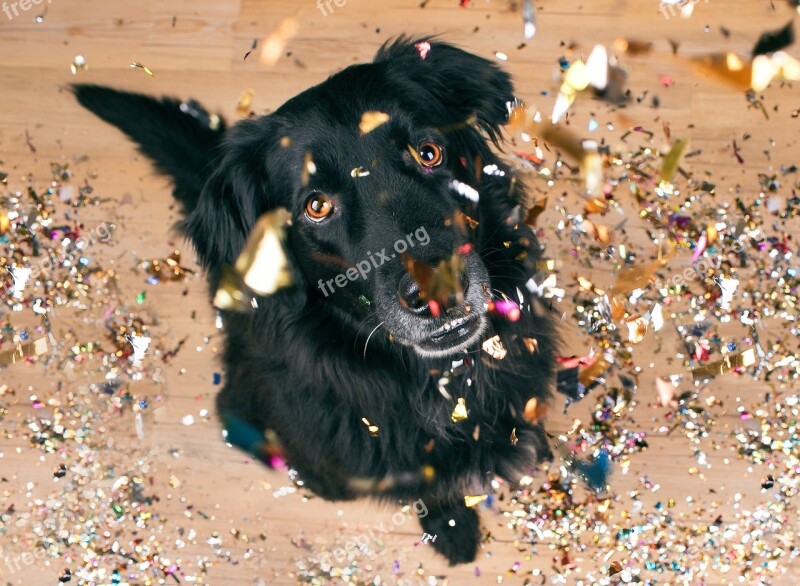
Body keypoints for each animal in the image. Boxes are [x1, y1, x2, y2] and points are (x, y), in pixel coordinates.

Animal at [76, 37, 556, 564]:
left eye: (429, 152)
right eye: (317, 206)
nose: (439, 290)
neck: (441, 378)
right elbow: (429, 486)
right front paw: (451, 525)